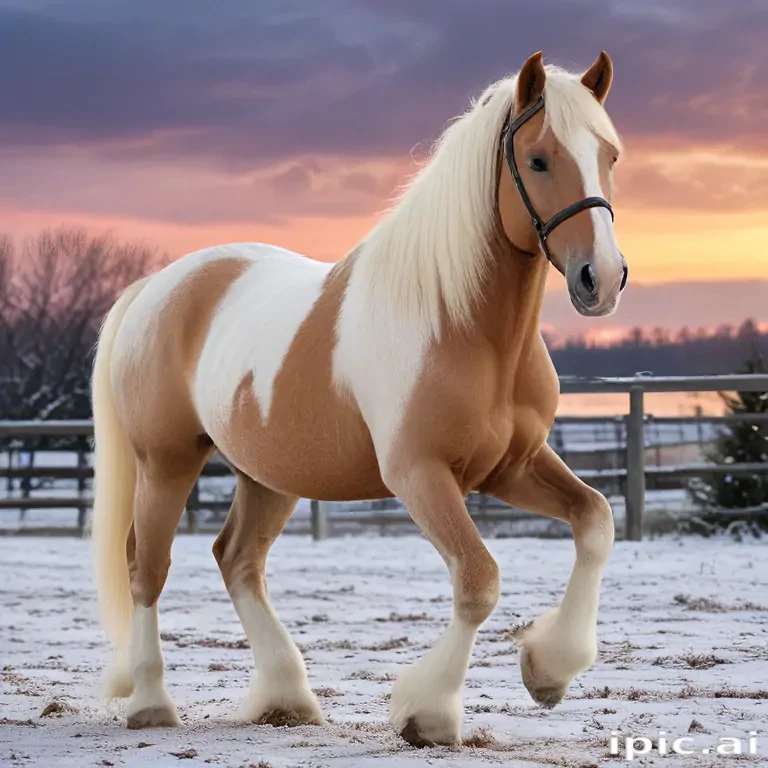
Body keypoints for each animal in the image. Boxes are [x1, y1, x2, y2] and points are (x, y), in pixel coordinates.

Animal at [91, 50, 627, 747]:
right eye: (538, 160)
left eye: (609, 155)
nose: (603, 278)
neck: (463, 325)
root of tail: (157, 285)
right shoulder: (418, 474)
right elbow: (478, 580)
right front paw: (428, 712)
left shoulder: (513, 466)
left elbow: (595, 520)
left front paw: (548, 670)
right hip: (167, 461)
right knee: (146, 568)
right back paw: (153, 703)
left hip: (270, 475)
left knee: (237, 560)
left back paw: (285, 698)